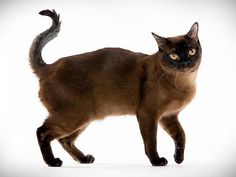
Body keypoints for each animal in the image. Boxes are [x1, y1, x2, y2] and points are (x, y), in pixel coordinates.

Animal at [29, 9, 202, 167]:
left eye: (191, 51)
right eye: (174, 55)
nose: (186, 63)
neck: (182, 82)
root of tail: (49, 67)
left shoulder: (169, 116)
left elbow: (181, 135)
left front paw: (179, 158)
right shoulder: (148, 114)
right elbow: (151, 142)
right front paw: (157, 161)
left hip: (84, 117)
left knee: (65, 140)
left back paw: (84, 159)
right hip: (72, 116)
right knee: (42, 132)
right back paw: (52, 162)